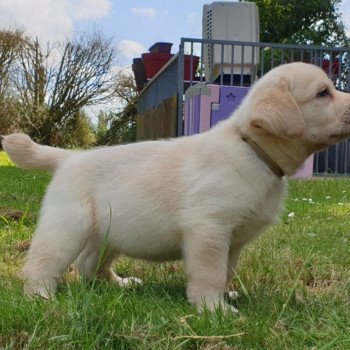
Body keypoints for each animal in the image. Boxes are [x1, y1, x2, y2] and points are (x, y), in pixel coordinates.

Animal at [2, 63, 350, 312]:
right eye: (323, 93)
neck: (251, 149)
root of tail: (70, 157)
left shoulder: (233, 241)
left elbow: (226, 271)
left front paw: (225, 297)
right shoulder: (208, 229)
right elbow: (210, 273)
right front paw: (213, 310)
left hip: (108, 233)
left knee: (89, 264)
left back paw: (118, 284)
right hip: (67, 226)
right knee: (42, 264)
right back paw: (42, 299)